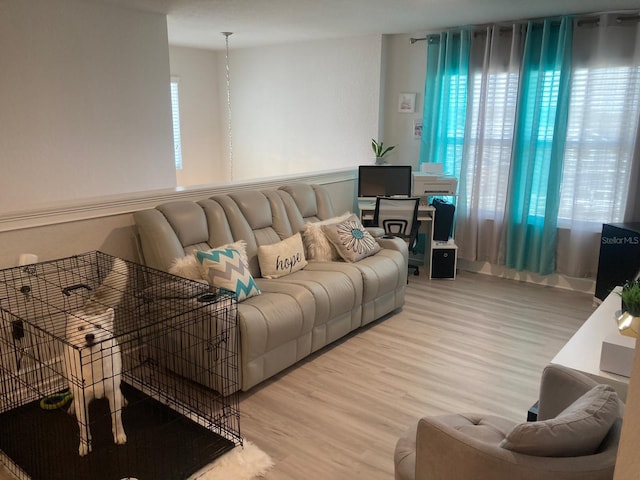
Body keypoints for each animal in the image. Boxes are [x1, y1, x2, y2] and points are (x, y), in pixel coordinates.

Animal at [65, 256, 130, 456]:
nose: (89, 336)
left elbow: (116, 419)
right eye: (80, 328)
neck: (94, 365)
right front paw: (84, 445)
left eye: (99, 327)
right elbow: (83, 426)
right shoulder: (82, 399)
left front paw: (119, 435)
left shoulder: (111, 392)